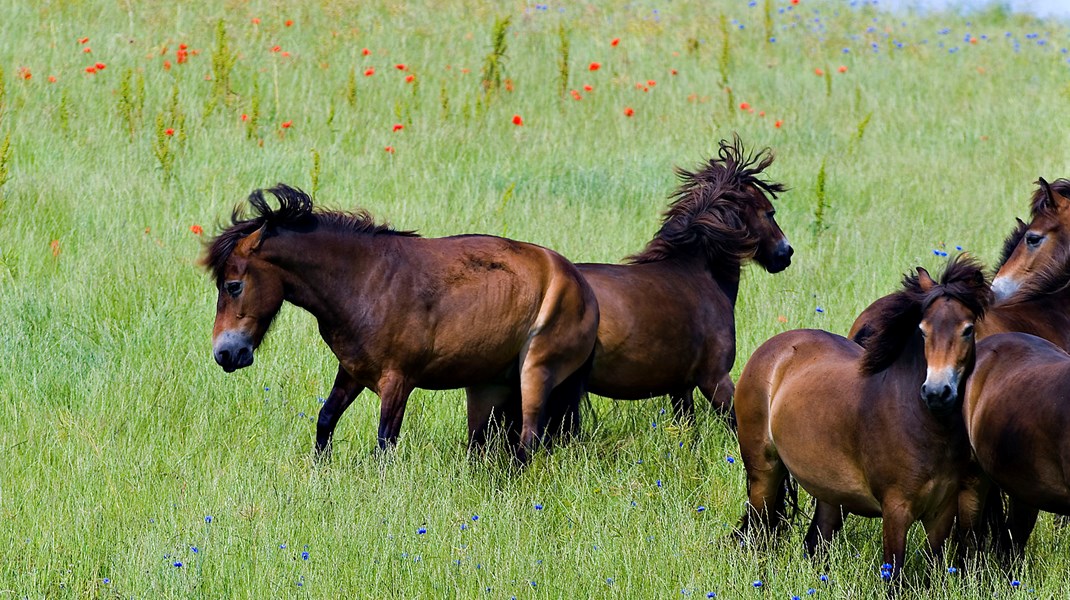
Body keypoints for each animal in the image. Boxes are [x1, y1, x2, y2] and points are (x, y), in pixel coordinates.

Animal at [202, 182, 603, 457]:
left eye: (233, 286)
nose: (225, 353)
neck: (367, 280)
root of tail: (582, 287)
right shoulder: (352, 372)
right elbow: (326, 419)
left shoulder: (397, 381)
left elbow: (385, 442)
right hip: (491, 384)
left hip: (534, 372)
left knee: (528, 440)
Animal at [736, 257, 992, 581]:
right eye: (922, 331)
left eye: (968, 330)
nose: (937, 392)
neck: (925, 425)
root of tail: (773, 349)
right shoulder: (896, 510)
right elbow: (894, 575)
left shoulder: (941, 512)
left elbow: (935, 570)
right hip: (764, 474)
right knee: (758, 533)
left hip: (829, 493)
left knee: (816, 543)